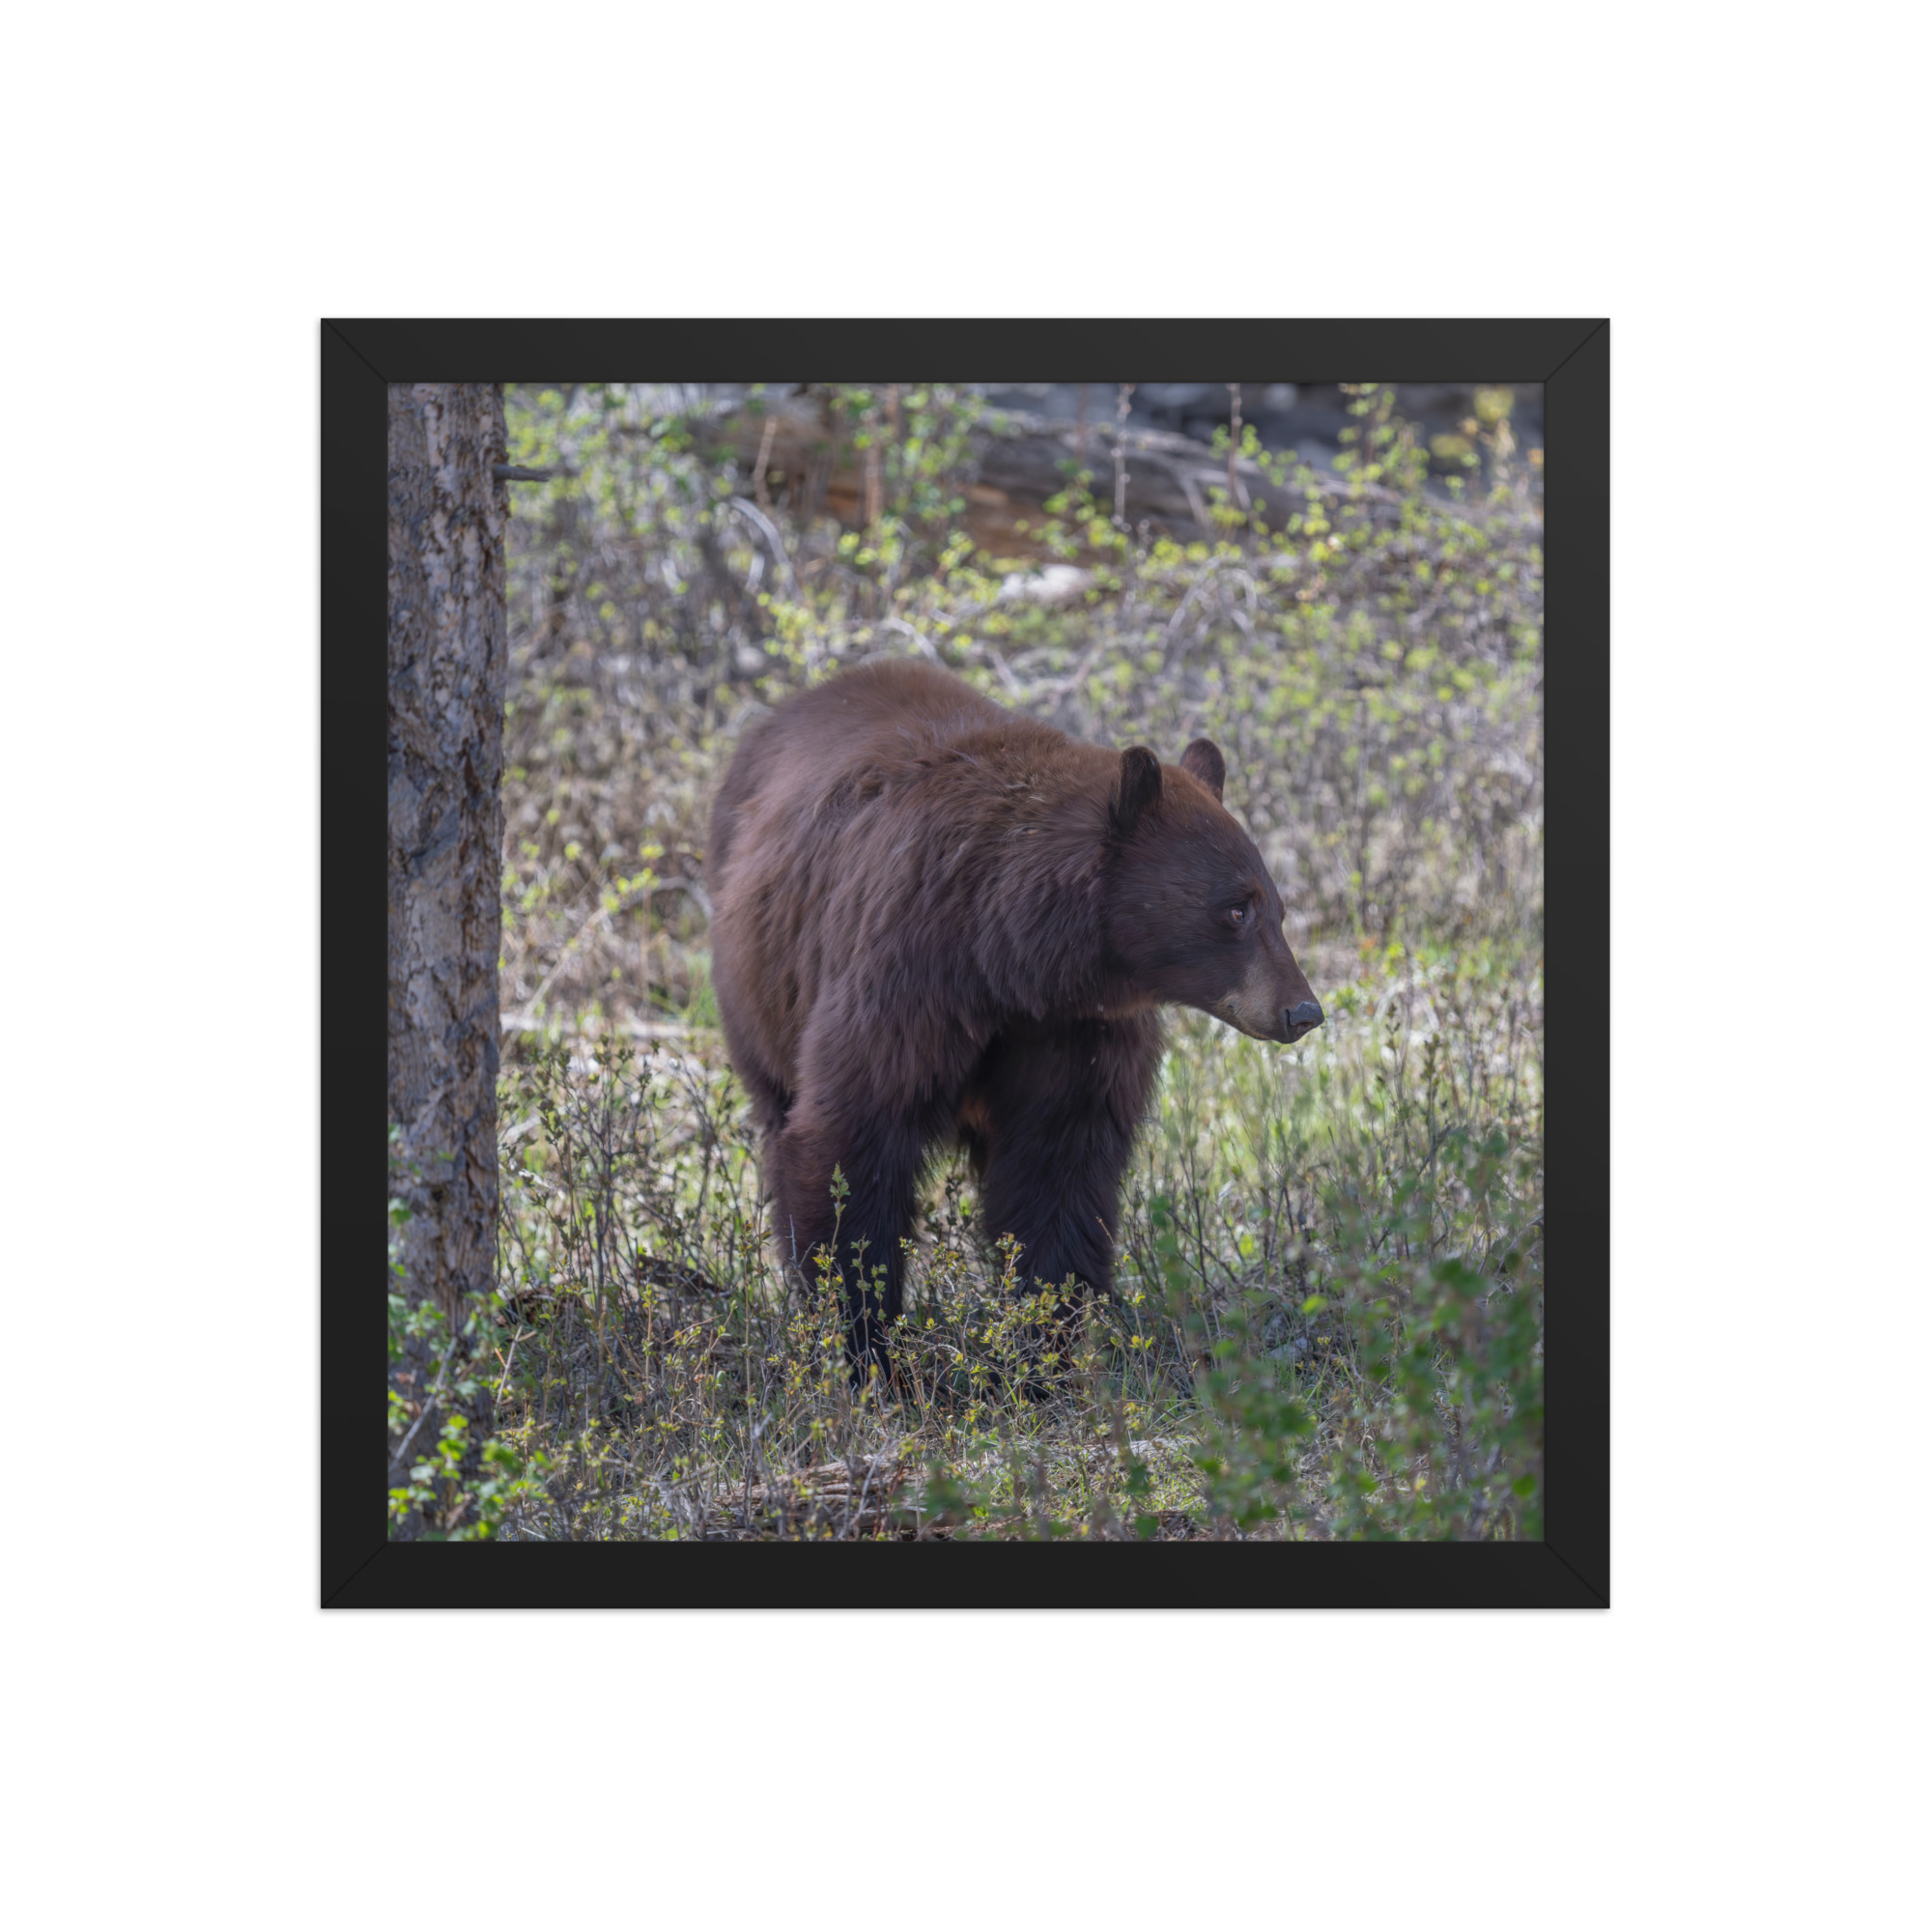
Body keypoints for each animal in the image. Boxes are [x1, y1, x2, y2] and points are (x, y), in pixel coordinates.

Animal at [706, 658, 1323, 1378]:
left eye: (1276, 908)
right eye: (1235, 909)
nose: (1303, 1010)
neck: (1008, 957)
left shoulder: (1075, 1031)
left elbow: (1058, 1169)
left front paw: (1043, 1349)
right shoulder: (905, 976)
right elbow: (852, 1141)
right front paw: (865, 1349)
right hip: (759, 989)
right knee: (780, 1119)